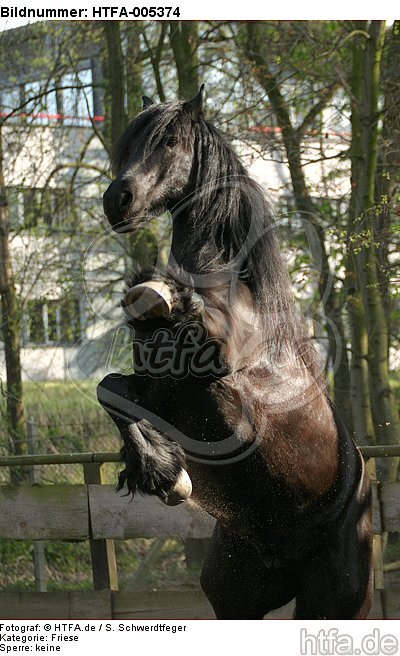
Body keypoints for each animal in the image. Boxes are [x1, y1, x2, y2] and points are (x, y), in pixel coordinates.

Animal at [98, 87, 373, 619]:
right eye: (129, 145)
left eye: (170, 141)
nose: (117, 199)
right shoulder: (157, 392)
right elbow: (111, 391)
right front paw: (163, 474)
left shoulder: (229, 388)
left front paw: (162, 291)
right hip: (234, 596)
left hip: (336, 601)